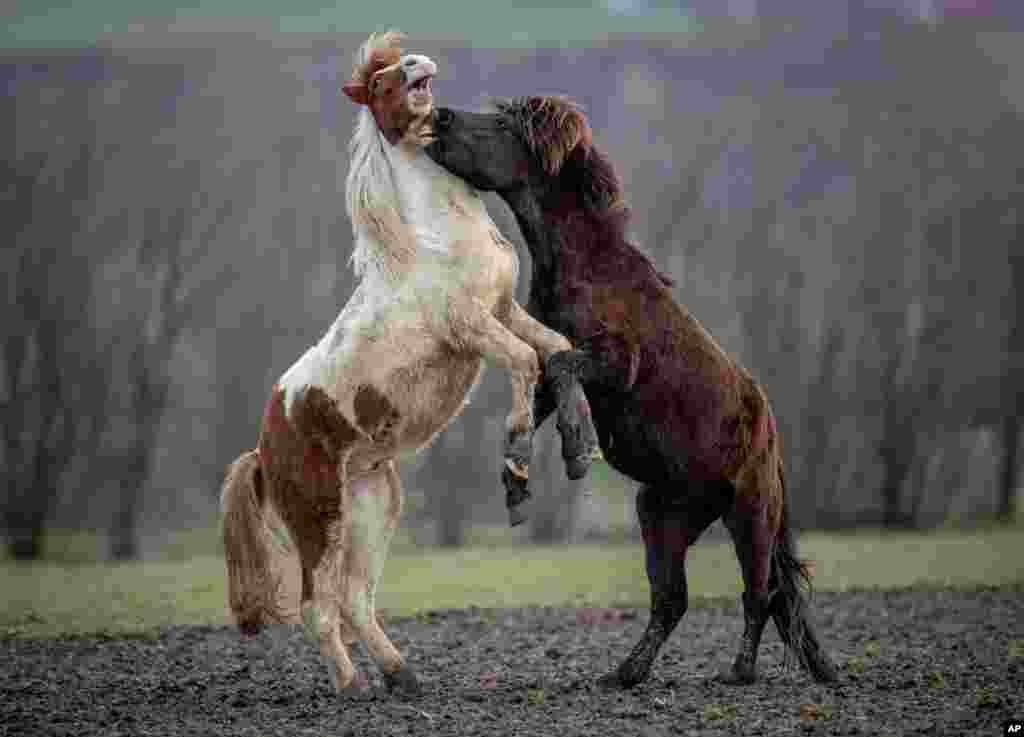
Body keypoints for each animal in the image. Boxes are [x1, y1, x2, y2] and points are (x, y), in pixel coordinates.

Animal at [219, 37, 598, 699]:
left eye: (400, 63)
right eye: (379, 84)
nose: (418, 65)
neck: (433, 238)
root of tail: (264, 448)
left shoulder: (503, 308)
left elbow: (558, 351)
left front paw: (579, 447)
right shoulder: (471, 326)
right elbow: (526, 362)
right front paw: (517, 467)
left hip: (374, 503)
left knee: (354, 600)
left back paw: (403, 676)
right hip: (320, 518)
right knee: (320, 608)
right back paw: (352, 685)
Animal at [426, 96, 839, 689]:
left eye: (503, 123)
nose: (438, 116)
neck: (585, 270)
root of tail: (771, 434)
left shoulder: (618, 362)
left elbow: (565, 366)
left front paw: (577, 449)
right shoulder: (547, 357)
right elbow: (537, 391)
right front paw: (517, 481)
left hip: (751, 511)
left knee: (760, 594)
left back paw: (738, 672)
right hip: (662, 513)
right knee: (674, 599)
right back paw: (626, 672)